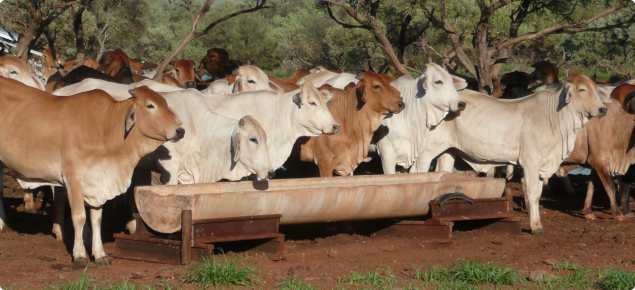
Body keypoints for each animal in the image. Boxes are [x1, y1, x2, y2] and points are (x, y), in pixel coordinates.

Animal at [0, 78, 184, 266]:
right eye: (150, 105)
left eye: (165, 103)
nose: (180, 130)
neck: (106, 129)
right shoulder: (73, 178)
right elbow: (79, 216)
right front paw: (80, 255)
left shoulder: (99, 181)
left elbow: (97, 219)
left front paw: (100, 254)